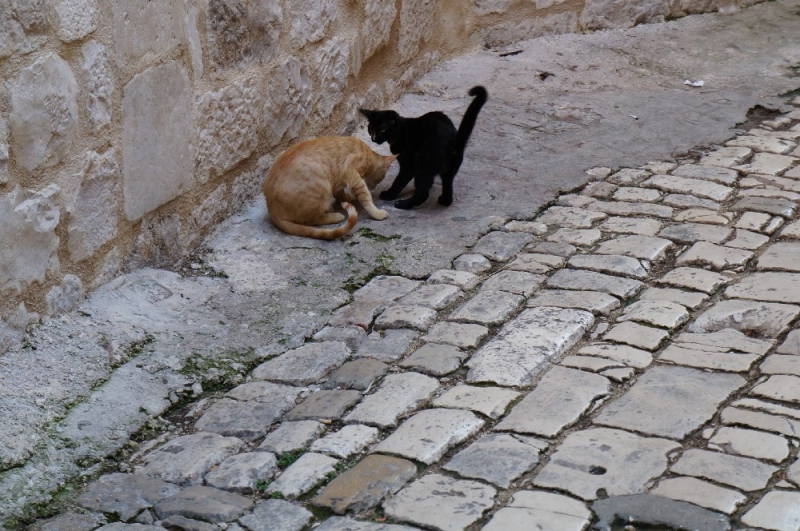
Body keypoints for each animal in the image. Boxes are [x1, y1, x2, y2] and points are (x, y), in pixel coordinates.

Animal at [262, 136, 396, 240]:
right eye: (382, 177)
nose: (374, 186)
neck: (368, 153)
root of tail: (271, 209)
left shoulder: (338, 179)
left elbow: (339, 192)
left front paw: (347, 197)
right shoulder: (351, 172)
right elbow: (365, 196)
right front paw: (376, 212)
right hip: (320, 183)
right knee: (311, 219)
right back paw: (334, 215)